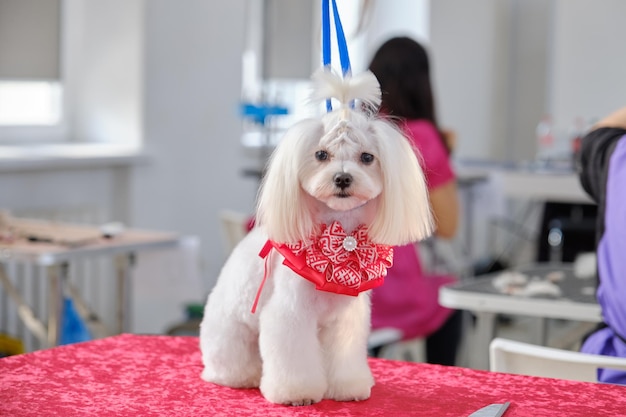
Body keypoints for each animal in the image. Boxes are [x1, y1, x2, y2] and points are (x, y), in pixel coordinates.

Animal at [199, 70, 428, 404]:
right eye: (321, 154)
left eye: (367, 157)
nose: (342, 178)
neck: (341, 232)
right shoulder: (290, 315)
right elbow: (293, 357)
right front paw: (296, 392)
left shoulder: (345, 321)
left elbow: (344, 357)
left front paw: (347, 387)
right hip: (231, 335)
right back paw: (241, 376)